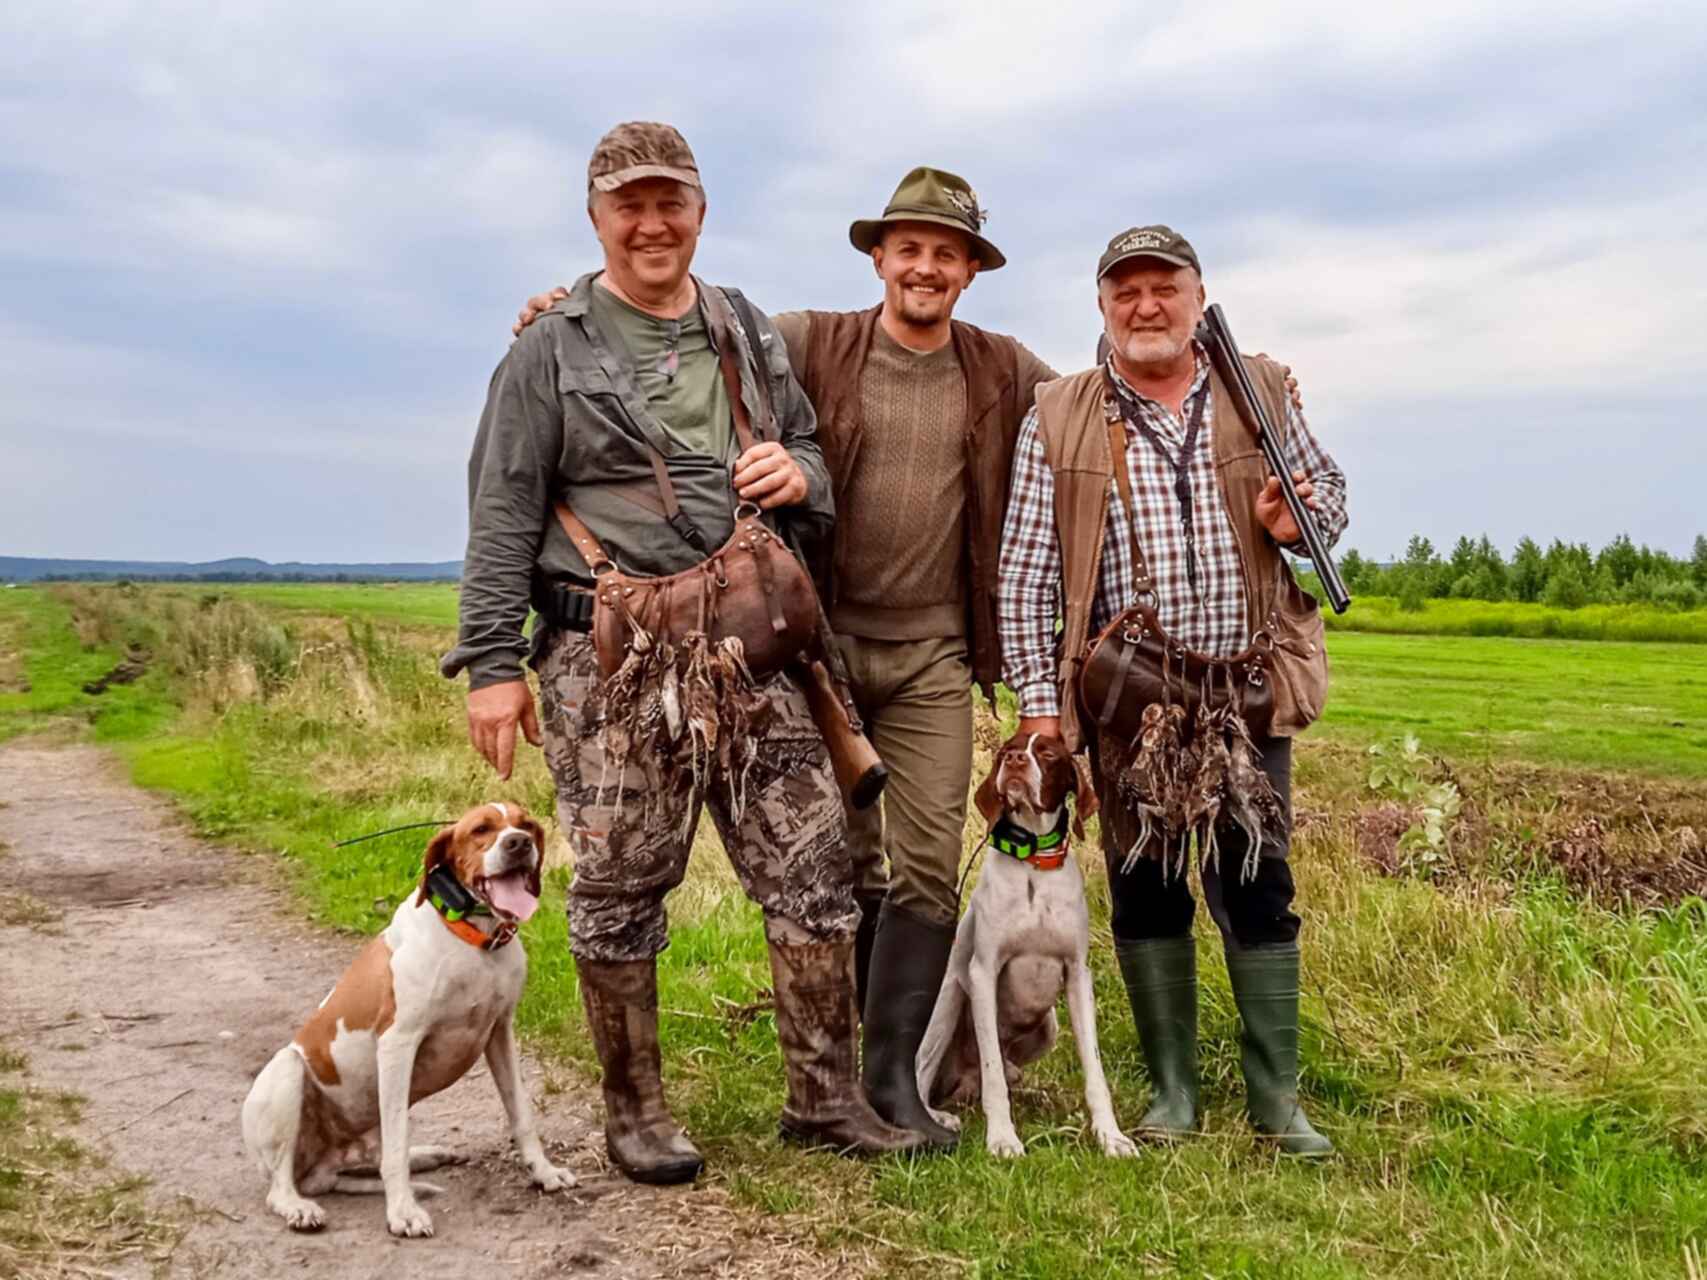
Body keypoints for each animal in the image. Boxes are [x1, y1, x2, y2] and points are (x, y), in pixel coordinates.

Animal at [240, 805, 576, 1235]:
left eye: (526, 824)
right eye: (481, 829)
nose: (519, 843)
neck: (470, 939)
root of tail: (321, 1168)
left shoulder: (500, 1033)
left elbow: (522, 1115)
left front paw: (544, 1172)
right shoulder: (398, 1043)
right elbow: (396, 1150)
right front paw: (403, 1211)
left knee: (375, 1156)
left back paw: (428, 1154)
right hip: (289, 1072)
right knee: (283, 1186)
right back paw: (300, 1206)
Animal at [914, 730, 1140, 1160]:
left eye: (1048, 754)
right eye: (1008, 750)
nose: (1015, 761)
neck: (1034, 861)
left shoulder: (1077, 975)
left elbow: (1094, 1071)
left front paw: (1111, 1136)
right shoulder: (983, 973)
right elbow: (993, 1076)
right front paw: (1002, 1138)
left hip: (1048, 1025)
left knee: (996, 1076)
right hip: (946, 1003)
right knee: (924, 1069)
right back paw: (934, 1118)